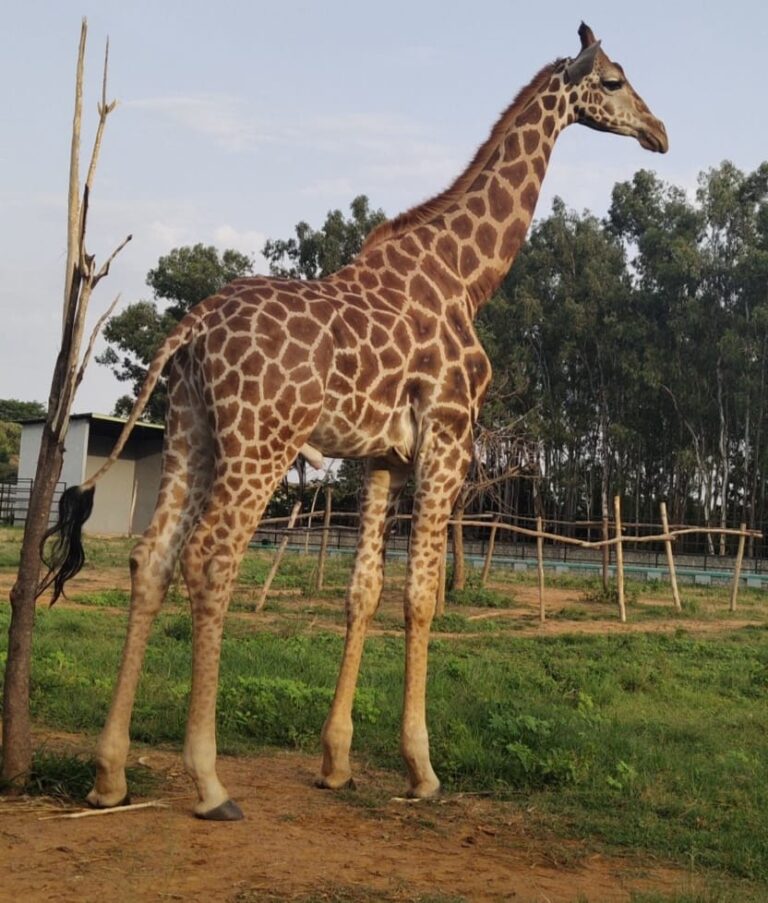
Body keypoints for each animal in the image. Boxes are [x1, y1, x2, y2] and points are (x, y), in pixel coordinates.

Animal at [41, 23, 667, 820]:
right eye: (615, 80)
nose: (660, 133)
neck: (468, 278)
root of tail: (193, 327)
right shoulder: (448, 437)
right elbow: (421, 596)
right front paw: (421, 768)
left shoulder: (379, 457)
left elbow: (362, 591)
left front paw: (336, 761)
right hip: (261, 441)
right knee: (210, 559)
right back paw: (210, 783)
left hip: (191, 431)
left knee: (150, 556)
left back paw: (109, 773)